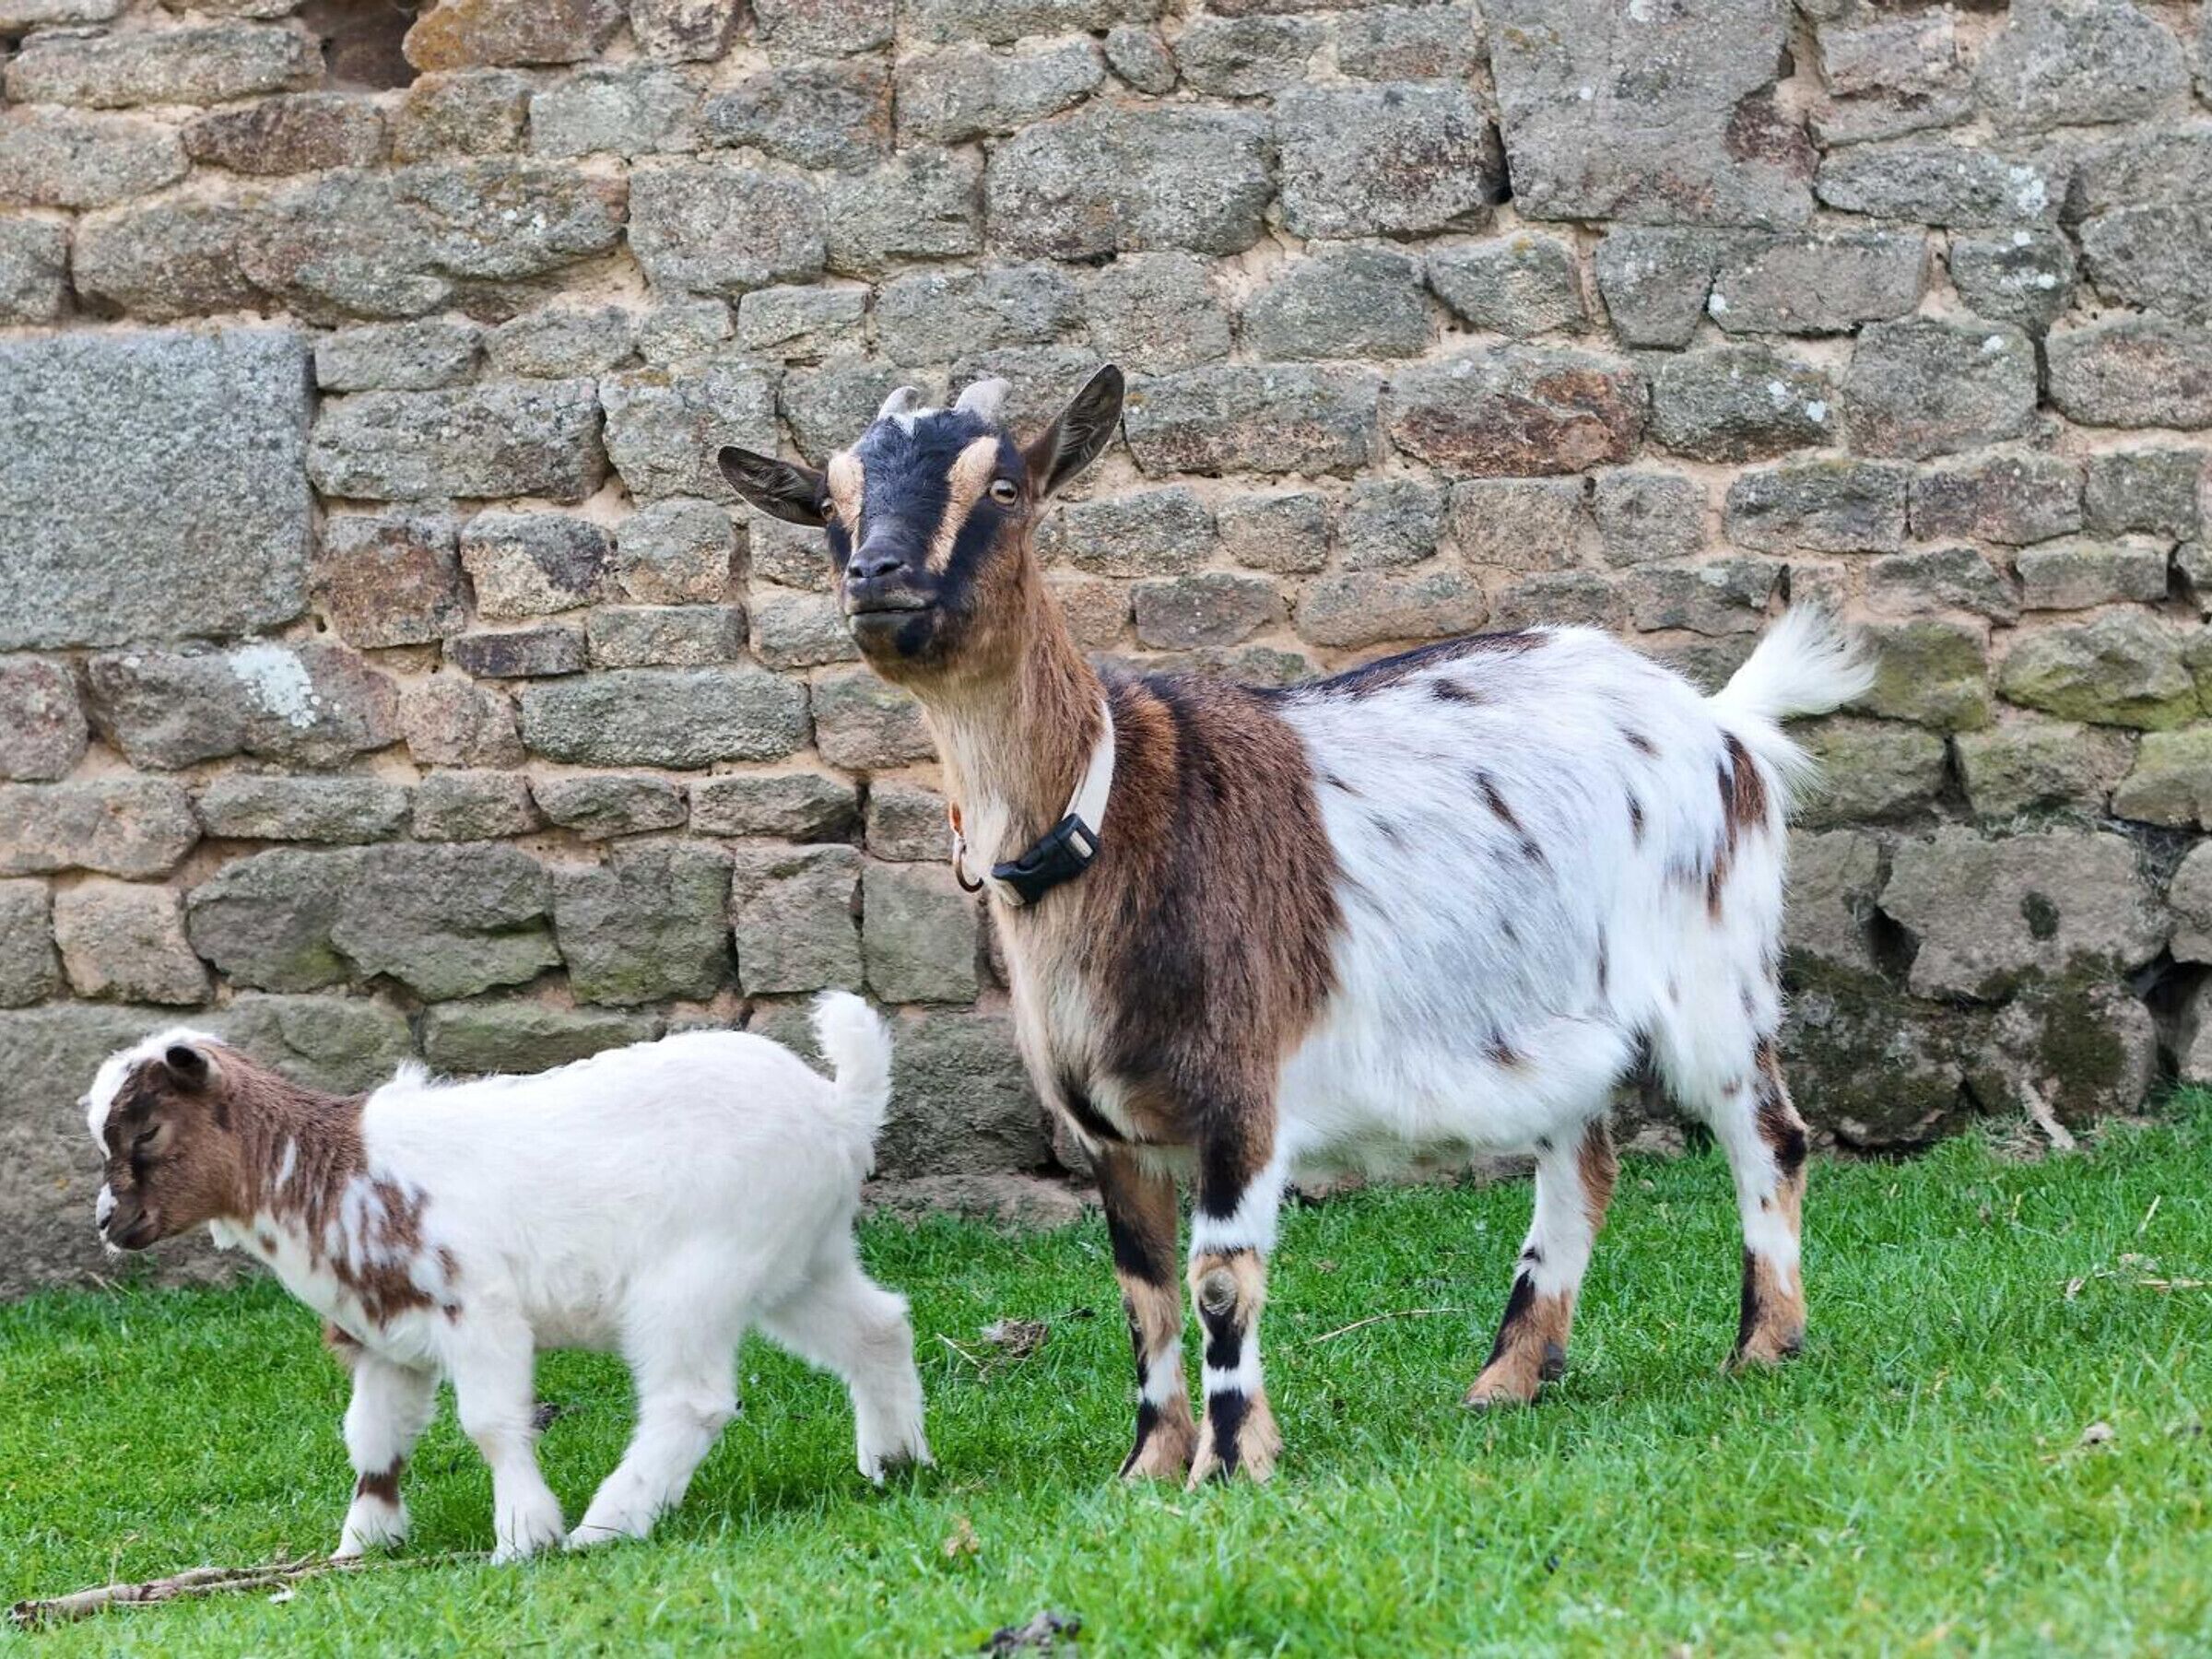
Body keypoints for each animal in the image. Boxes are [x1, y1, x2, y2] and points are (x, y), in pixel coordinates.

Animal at [83, 995, 929, 1560]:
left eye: (147, 1130)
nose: (107, 1223)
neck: (336, 1173)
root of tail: (838, 1109)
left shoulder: (476, 1311)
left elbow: (491, 1424)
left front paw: (523, 1537)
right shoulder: (384, 1335)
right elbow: (372, 1440)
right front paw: (362, 1545)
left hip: (695, 1273)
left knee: (692, 1400)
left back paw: (605, 1526)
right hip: (801, 1260)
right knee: (877, 1327)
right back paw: (896, 1464)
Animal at [720, 367, 1875, 1488]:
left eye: (1004, 488)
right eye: (829, 504)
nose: (877, 575)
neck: (1111, 803)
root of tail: (1720, 722)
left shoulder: (1243, 1090)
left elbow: (1219, 1281)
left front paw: (1232, 1464)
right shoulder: (1105, 1129)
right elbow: (1141, 1292)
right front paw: (1147, 1465)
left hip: (1711, 966)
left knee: (1767, 1131)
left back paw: (1763, 1347)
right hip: (1554, 1009)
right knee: (1581, 1166)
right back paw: (1507, 1377)